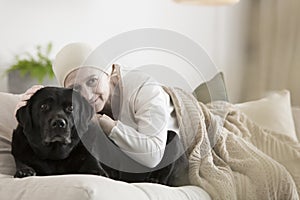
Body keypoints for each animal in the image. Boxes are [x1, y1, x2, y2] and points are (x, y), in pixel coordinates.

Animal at [12, 86, 190, 187]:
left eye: (71, 108)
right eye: (43, 106)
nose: (59, 123)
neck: (55, 157)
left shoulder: (96, 170)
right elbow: (23, 165)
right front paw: (25, 171)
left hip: (172, 136)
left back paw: (155, 180)